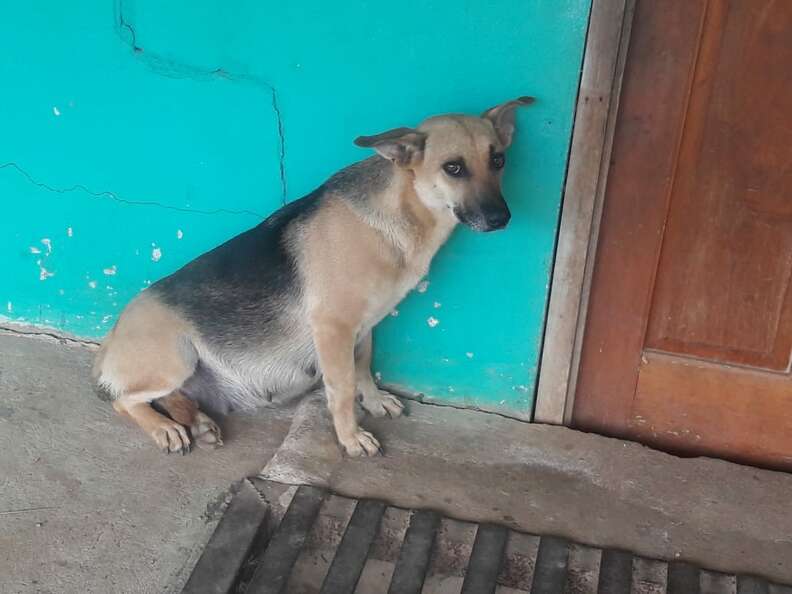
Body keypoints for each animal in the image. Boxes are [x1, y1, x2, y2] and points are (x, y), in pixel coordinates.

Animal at [96, 97, 536, 456]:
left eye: (498, 160)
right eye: (453, 168)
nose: (502, 219)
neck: (403, 211)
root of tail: (110, 340)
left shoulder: (363, 327)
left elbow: (364, 366)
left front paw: (374, 401)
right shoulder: (334, 328)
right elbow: (341, 389)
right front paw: (351, 438)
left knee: (170, 398)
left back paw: (199, 422)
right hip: (176, 357)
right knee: (123, 399)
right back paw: (164, 429)